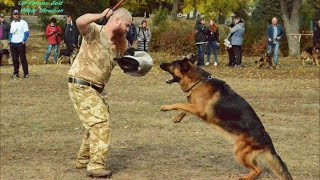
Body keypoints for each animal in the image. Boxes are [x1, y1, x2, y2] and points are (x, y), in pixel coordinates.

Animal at [159, 55, 292, 179]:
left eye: (171, 64)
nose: (160, 63)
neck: (199, 81)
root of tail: (267, 140)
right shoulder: (195, 107)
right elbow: (184, 107)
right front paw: (178, 117)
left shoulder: (199, 109)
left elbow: (180, 104)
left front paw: (166, 107)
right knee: (257, 170)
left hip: (239, 153)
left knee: (258, 170)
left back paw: (242, 178)